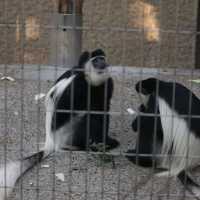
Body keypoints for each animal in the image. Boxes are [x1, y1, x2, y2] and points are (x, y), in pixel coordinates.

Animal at [0, 48, 119, 200]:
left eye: (102, 59)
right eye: (96, 60)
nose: (102, 63)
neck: (90, 81)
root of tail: (51, 142)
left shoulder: (107, 84)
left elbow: (103, 109)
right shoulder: (77, 87)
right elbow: (64, 112)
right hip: (69, 133)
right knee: (89, 118)